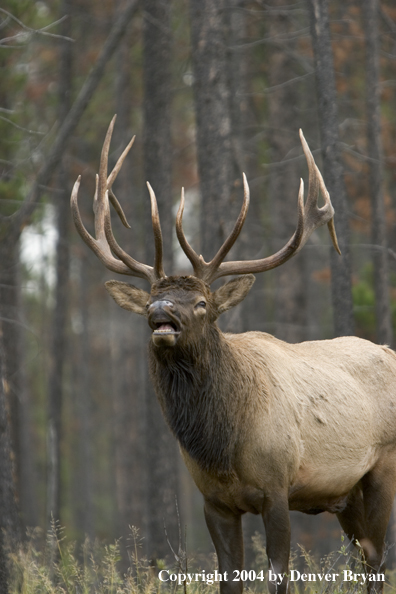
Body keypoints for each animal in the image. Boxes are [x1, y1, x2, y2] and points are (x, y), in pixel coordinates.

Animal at [70, 117, 396, 592]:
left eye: (202, 303)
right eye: (150, 299)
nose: (160, 311)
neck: (222, 447)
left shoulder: (278, 486)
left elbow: (278, 574)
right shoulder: (214, 501)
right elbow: (229, 576)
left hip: (382, 467)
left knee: (376, 560)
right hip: (346, 492)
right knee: (364, 559)